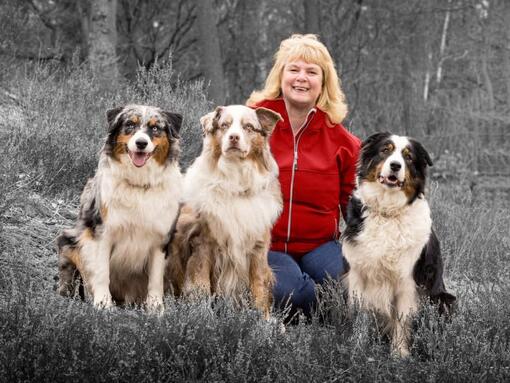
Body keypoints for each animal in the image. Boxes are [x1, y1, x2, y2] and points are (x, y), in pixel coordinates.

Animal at [57, 104, 183, 312]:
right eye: (130, 125)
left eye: (155, 128)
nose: (141, 143)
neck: (139, 185)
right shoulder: (102, 234)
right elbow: (102, 273)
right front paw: (102, 303)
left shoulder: (161, 239)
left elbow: (155, 279)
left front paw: (156, 308)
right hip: (70, 240)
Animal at [169, 105, 284, 320]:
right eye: (224, 125)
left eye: (248, 127)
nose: (234, 137)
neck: (236, 183)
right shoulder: (203, 244)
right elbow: (201, 285)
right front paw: (201, 316)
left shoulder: (257, 248)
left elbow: (258, 287)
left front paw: (263, 321)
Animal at [342, 132, 454, 356]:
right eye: (385, 150)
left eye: (408, 157)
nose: (395, 165)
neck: (388, 212)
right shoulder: (359, 275)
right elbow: (361, 315)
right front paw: (357, 347)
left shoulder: (408, 282)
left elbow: (403, 322)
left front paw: (399, 355)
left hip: (444, 300)